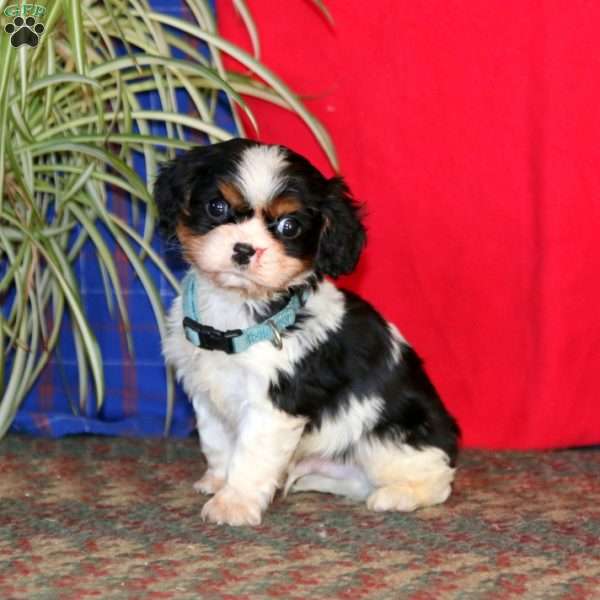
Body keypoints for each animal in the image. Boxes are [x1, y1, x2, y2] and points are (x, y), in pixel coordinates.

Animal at [156, 139, 460, 524]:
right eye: (217, 206)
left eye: (289, 226)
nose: (244, 250)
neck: (237, 313)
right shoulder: (206, 392)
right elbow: (216, 444)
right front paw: (217, 481)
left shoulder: (274, 406)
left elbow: (250, 457)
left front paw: (233, 503)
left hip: (386, 437)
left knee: (438, 478)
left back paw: (398, 495)